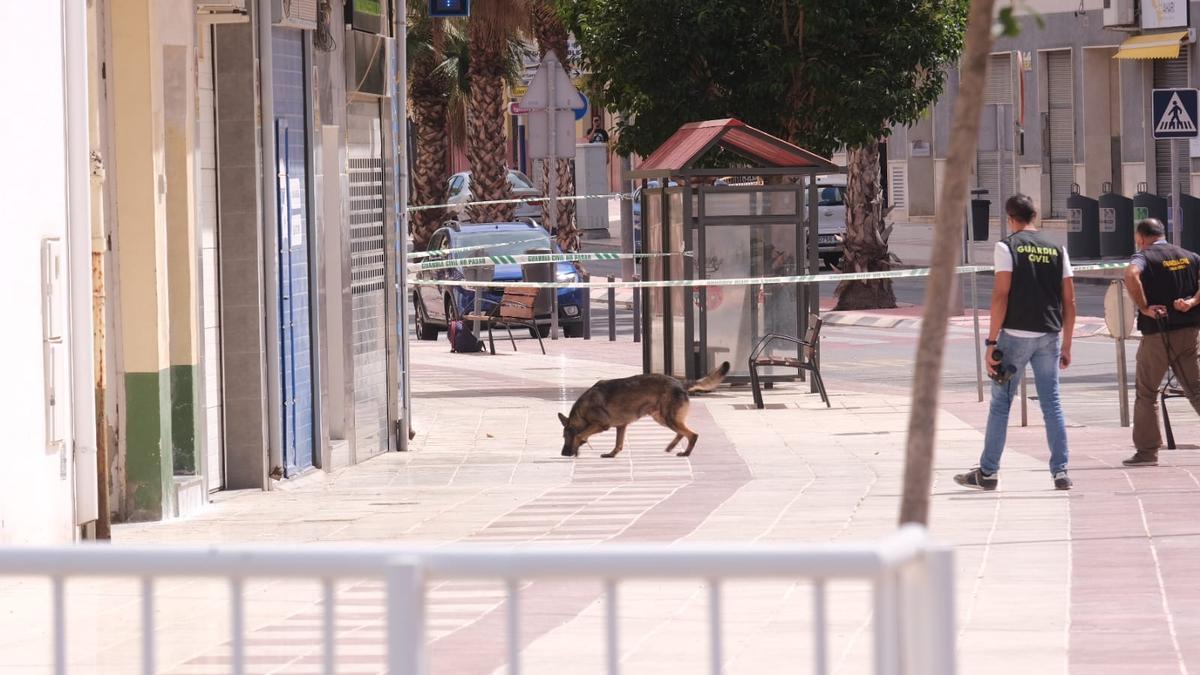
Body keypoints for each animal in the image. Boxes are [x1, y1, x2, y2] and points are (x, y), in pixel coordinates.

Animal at [554, 362, 729, 456]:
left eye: (565, 437)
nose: (563, 454)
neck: (582, 411)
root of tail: (680, 383)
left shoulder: (601, 425)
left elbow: (580, 434)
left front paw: (578, 444)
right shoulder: (621, 426)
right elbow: (618, 444)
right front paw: (611, 454)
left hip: (668, 419)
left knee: (692, 435)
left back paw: (686, 453)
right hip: (663, 418)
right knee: (681, 432)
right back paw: (671, 447)